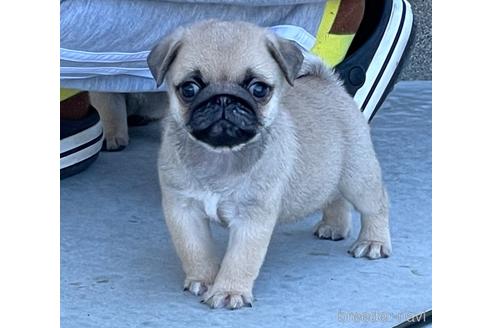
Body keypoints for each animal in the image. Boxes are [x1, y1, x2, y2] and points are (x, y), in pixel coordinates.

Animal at [149, 21, 392, 310]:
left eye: (258, 89)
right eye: (189, 89)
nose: (223, 99)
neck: (221, 155)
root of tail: (328, 82)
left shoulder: (252, 219)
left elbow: (240, 259)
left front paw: (228, 291)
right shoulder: (183, 210)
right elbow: (194, 250)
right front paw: (204, 278)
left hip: (358, 177)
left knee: (376, 205)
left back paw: (373, 241)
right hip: (330, 174)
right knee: (334, 197)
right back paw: (334, 227)